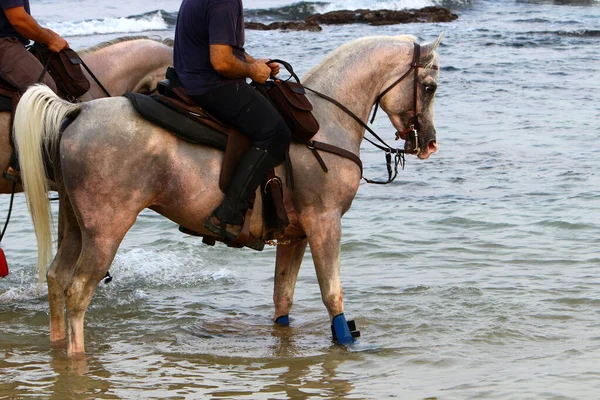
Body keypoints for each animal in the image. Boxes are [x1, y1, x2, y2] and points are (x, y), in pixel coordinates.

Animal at [11, 33, 442, 354]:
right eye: (429, 86)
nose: (429, 143)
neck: (324, 121)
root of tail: (77, 112)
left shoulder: (296, 236)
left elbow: (282, 298)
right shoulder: (324, 223)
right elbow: (332, 295)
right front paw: (346, 343)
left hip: (74, 224)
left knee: (56, 279)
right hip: (105, 231)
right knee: (78, 292)